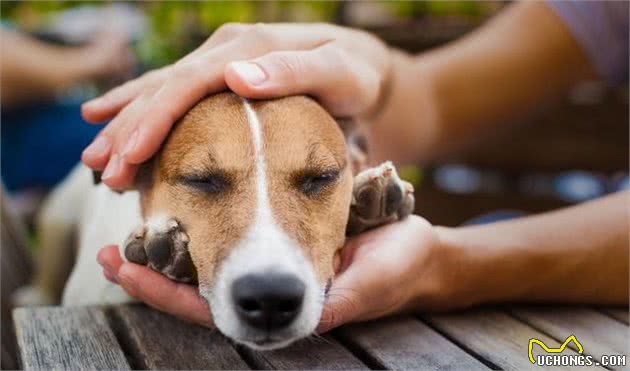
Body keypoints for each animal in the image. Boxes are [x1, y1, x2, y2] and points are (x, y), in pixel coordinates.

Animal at [13, 91, 414, 350]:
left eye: (321, 177)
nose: (270, 297)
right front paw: (164, 253)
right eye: (201, 180)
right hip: (59, 217)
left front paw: (367, 205)